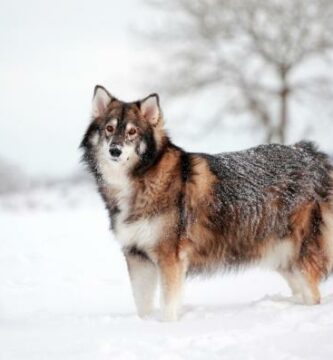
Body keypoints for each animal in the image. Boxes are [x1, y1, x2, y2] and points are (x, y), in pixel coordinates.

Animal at [80, 85, 332, 320]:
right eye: (109, 129)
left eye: (132, 132)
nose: (114, 150)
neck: (140, 180)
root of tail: (310, 153)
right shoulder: (137, 257)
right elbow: (143, 306)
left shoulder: (169, 259)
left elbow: (168, 306)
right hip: (280, 258)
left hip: (296, 256)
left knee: (313, 293)